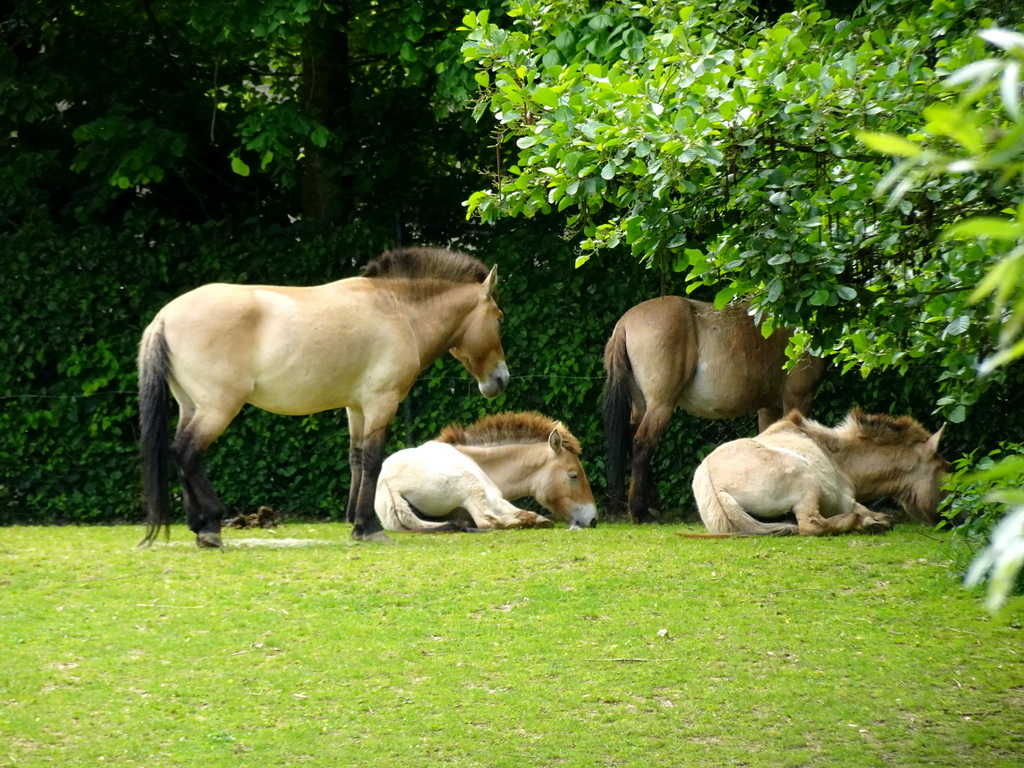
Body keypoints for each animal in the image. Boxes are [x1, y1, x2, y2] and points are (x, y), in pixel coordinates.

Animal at [376, 415, 598, 536]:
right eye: (573, 475)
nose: (593, 520)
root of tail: (388, 487)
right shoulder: (495, 498)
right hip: (471, 486)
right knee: (487, 521)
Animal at [602, 296, 827, 528]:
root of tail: (625, 323)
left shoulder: (768, 407)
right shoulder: (797, 398)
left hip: (641, 405)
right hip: (660, 405)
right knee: (642, 444)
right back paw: (640, 512)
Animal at [692, 409, 946, 536]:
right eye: (946, 469)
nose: (949, 521)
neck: (838, 458)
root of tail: (714, 487)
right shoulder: (845, 501)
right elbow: (866, 511)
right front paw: (875, 520)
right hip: (805, 478)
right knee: (810, 525)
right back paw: (864, 524)